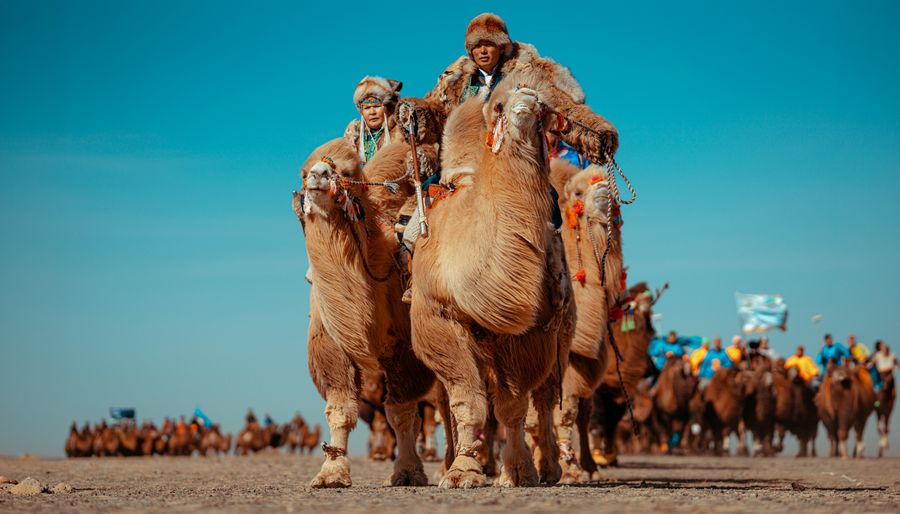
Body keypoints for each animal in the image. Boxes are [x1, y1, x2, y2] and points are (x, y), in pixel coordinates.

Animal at [295, 137, 441, 488]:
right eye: (304, 173)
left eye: (348, 172)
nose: (318, 175)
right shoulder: (331, 347)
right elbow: (340, 410)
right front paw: (331, 473)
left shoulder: (405, 351)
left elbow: (401, 413)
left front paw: (408, 471)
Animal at [408, 85, 575, 489]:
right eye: (498, 105)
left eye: (543, 110)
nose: (526, 100)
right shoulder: (437, 319)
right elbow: (467, 402)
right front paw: (461, 474)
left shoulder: (529, 331)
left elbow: (513, 405)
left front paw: (517, 472)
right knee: (446, 403)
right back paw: (451, 463)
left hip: (560, 335)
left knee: (545, 396)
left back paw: (550, 468)